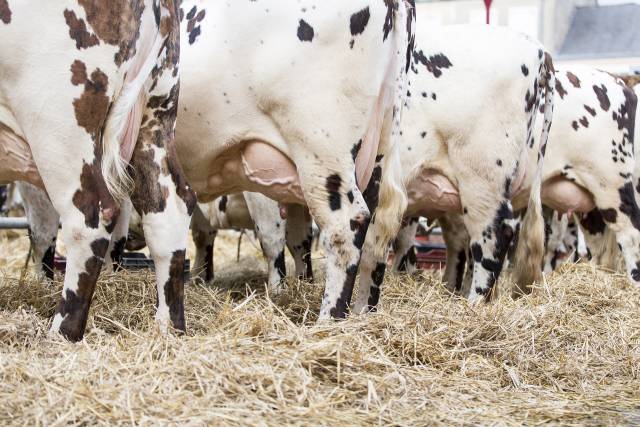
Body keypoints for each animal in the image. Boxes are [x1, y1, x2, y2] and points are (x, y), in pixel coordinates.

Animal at [0, 0, 195, 342]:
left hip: (58, 120)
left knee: (91, 214)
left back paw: (61, 333)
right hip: (157, 113)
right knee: (169, 208)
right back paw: (167, 328)